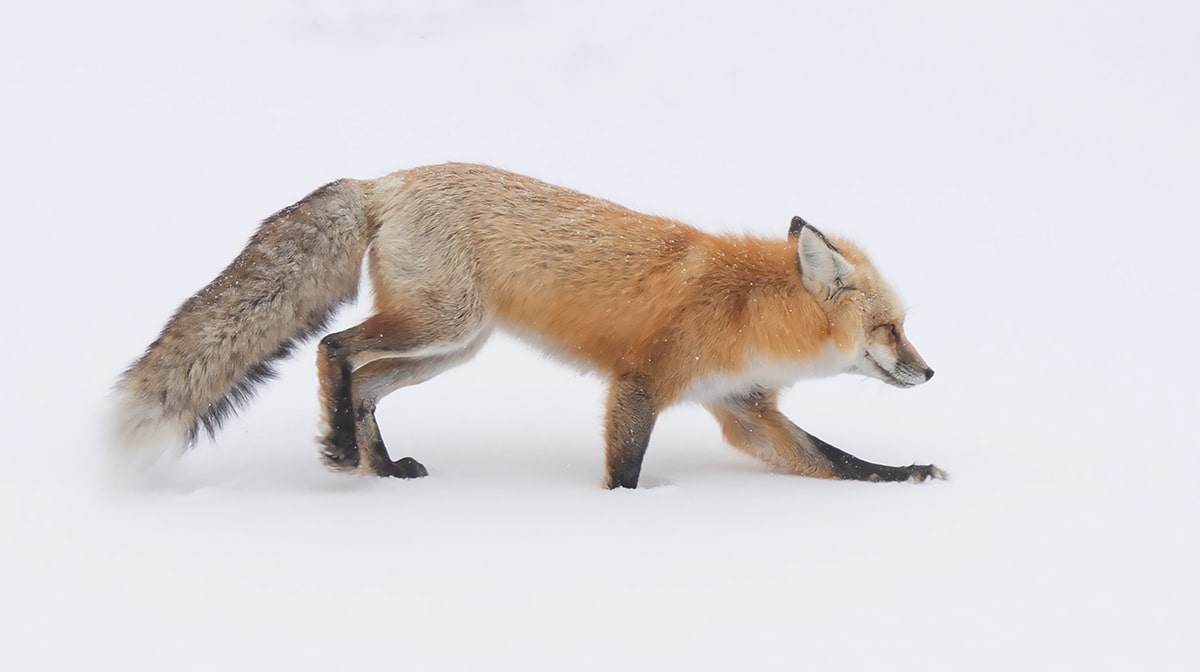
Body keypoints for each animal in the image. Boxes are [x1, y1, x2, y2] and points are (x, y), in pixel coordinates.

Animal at [114, 163, 936, 487]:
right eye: (890, 329)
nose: (930, 372)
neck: (748, 308)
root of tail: (385, 181)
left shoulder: (743, 411)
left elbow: (835, 460)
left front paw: (905, 477)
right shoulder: (641, 384)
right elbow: (624, 471)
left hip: (449, 347)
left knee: (364, 381)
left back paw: (380, 467)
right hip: (440, 324)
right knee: (333, 347)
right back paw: (343, 449)